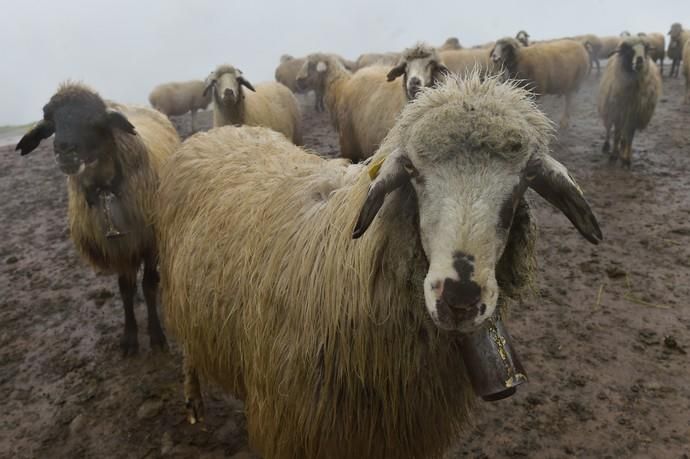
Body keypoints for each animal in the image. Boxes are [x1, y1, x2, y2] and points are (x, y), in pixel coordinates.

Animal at [15, 82, 180, 356]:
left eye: (95, 119)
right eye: (51, 120)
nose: (64, 151)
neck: (105, 189)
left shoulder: (148, 243)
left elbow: (149, 285)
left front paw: (156, 335)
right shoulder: (117, 248)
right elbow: (125, 290)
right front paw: (130, 337)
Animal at [157, 74, 600, 459]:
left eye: (526, 177)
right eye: (413, 171)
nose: (459, 298)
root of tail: (218, 134)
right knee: (189, 351)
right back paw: (193, 402)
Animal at [592, 36, 660, 169]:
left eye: (646, 49)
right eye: (628, 50)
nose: (640, 60)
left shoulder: (634, 115)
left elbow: (630, 138)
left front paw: (626, 159)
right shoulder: (618, 113)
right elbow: (617, 135)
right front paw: (614, 155)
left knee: (624, 135)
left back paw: (622, 149)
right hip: (609, 110)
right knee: (608, 129)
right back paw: (606, 146)